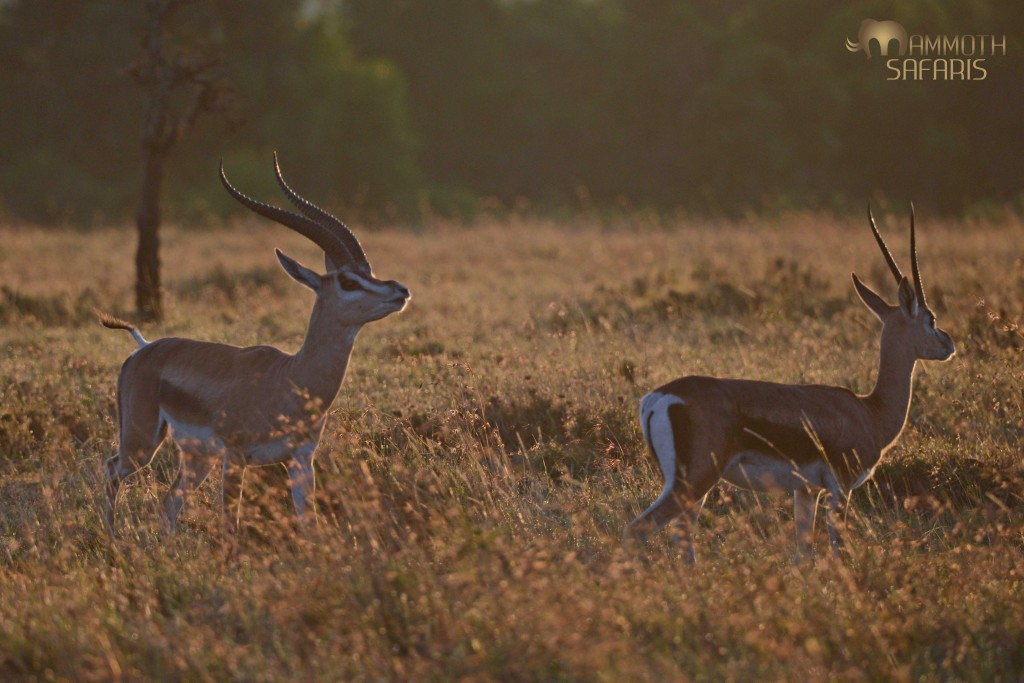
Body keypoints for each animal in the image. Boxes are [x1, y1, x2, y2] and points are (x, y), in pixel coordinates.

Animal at [101, 154, 410, 536]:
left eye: (369, 272)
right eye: (348, 281)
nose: (400, 290)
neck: (290, 380)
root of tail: (143, 348)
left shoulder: (301, 460)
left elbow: (309, 523)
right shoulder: (236, 457)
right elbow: (231, 525)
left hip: (197, 457)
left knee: (168, 504)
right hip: (142, 444)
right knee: (113, 469)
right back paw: (110, 538)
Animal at [623, 206, 955, 562]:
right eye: (931, 318)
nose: (949, 344)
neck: (870, 411)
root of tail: (657, 398)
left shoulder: (806, 492)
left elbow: (803, 554)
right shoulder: (840, 488)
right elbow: (838, 549)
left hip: (692, 488)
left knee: (681, 540)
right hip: (695, 482)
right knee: (638, 531)